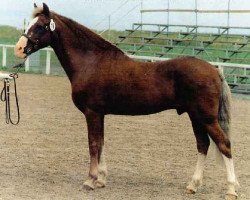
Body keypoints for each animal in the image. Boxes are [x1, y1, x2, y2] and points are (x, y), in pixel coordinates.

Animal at [15, 3, 238, 200]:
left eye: (41, 25)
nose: (19, 48)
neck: (91, 62)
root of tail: (215, 70)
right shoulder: (100, 114)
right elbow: (101, 143)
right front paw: (101, 180)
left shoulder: (92, 112)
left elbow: (93, 144)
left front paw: (90, 181)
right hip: (195, 117)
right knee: (203, 145)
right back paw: (193, 185)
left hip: (206, 118)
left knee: (224, 144)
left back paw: (231, 190)